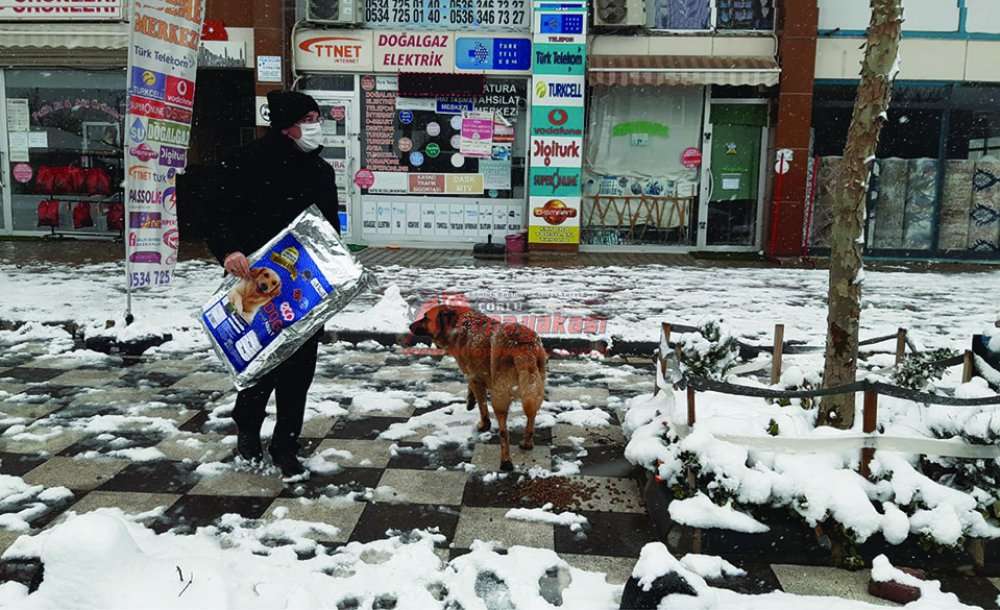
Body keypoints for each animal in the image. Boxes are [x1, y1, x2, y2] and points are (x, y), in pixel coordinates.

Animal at [408, 304, 548, 470]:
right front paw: (470, 401)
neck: (458, 323)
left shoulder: (474, 377)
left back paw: (506, 461)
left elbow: (482, 407)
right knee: (531, 415)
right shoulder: (476, 375)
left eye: (425, 317)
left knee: (504, 433)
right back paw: (527, 443)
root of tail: (522, 346)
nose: (409, 326)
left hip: (500, 397)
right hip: (534, 387)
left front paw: (483, 424)